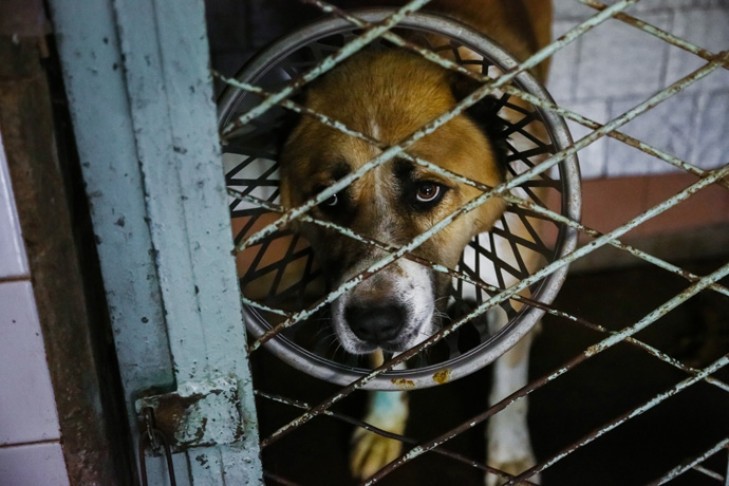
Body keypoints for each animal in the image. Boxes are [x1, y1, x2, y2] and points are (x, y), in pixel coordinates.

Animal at [276, 0, 548, 482]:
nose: (375, 324)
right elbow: (384, 368)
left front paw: (510, 457)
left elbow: (509, 385)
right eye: (330, 198)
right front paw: (382, 426)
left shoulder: (514, 293)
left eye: (427, 191)